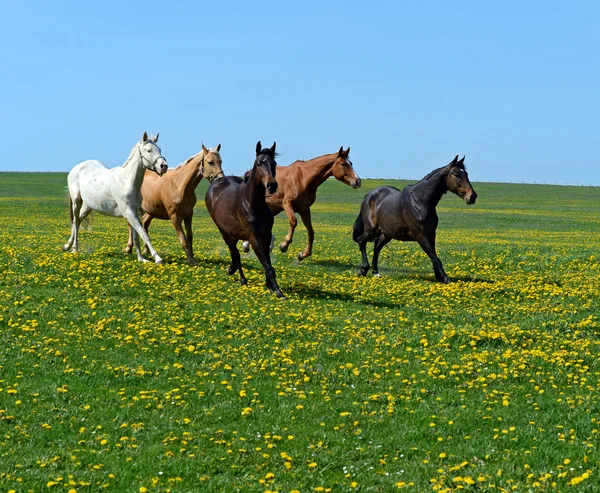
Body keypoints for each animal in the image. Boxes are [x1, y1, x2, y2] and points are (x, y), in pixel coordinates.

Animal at [63, 130, 169, 262]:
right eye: (149, 150)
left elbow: (136, 236)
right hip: (77, 202)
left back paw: (68, 246)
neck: (127, 182)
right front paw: (157, 258)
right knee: (76, 222)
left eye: (159, 149)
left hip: (88, 206)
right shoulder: (128, 212)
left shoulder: (134, 212)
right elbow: (143, 234)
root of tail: (76, 168)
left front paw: (141, 259)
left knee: (77, 222)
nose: (163, 166)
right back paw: (75, 249)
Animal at [206, 140, 286, 298]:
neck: (252, 203)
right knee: (235, 252)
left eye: (274, 163)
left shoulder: (266, 235)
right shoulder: (253, 237)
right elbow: (267, 265)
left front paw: (270, 286)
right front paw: (279, 292)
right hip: (224, 231)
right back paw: (242, 278)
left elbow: (267, 260)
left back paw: (232, 269)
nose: (272, 185)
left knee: (234, 251)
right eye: (259, 163)